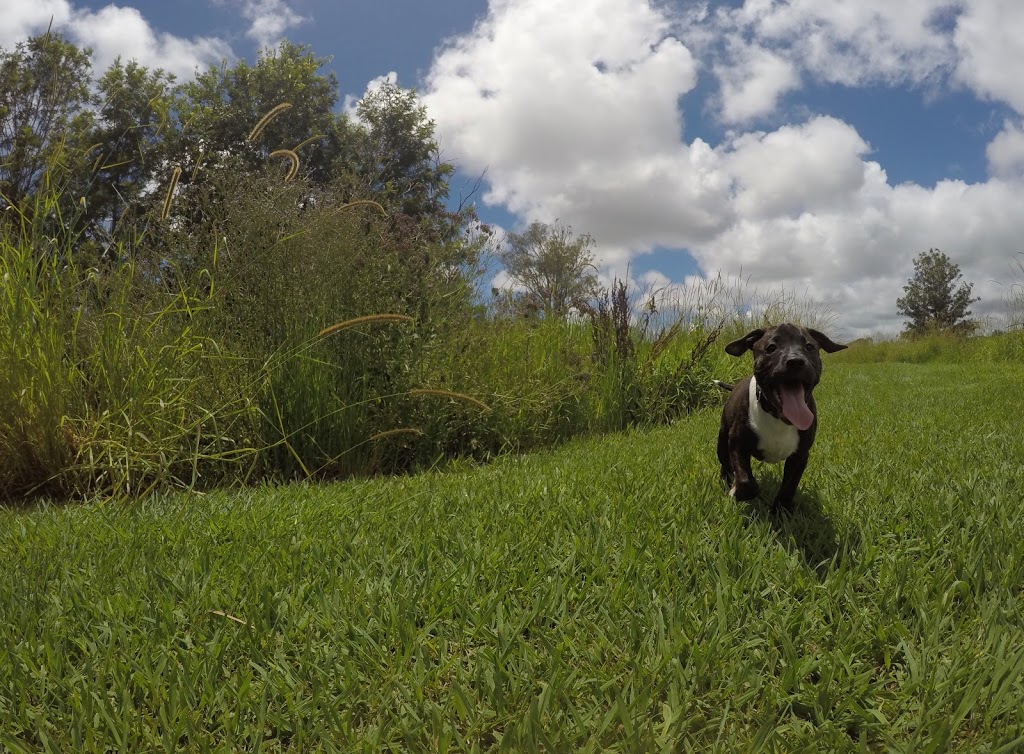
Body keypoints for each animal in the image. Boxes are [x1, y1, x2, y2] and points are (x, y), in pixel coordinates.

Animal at [712, 321, 847, 506]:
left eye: (809, 346)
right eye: (771, 348)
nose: (796, 361)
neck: (778, 418)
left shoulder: (800, 456)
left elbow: (788, 487)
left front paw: (781, 509)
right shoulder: (737, 444)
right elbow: (746, 481)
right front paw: (738, 491)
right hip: (722, 439)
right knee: (725, 464)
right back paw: (726, 482)